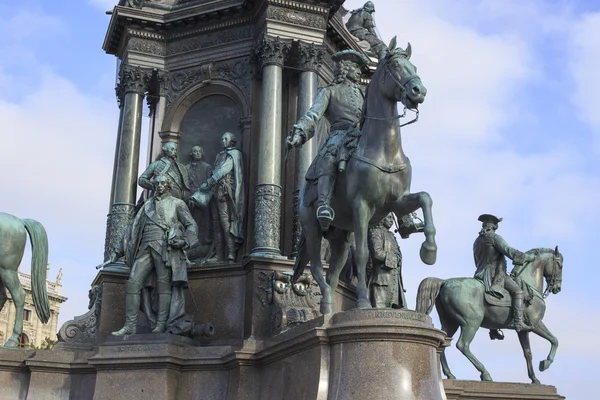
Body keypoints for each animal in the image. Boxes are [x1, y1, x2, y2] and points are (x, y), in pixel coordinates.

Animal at [294, 39, 436, 314]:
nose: (419, 91)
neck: (385, 151)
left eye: (413, 66)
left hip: (340, 237)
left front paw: (429, 249)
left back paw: (329, 308)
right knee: (316, 268)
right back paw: (326, 306)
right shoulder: (362, 206)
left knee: (333, 272)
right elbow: (362, 254)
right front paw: (362, 303)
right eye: (394, 65)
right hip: (312, 228)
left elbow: (425, 197)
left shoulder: (397, 202)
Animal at [414, 247, 564, 384]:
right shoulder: (535, 324)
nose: (557, 288)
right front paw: (546, 363)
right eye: (560, 265)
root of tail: (444, 282)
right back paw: (485, 374)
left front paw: (534, 378)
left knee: (444, 344)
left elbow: (528, 353)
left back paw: (450, 374)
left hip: (450, 323)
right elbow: (554, 340)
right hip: (471, 323)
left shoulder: (523, 330)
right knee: (463, 345)